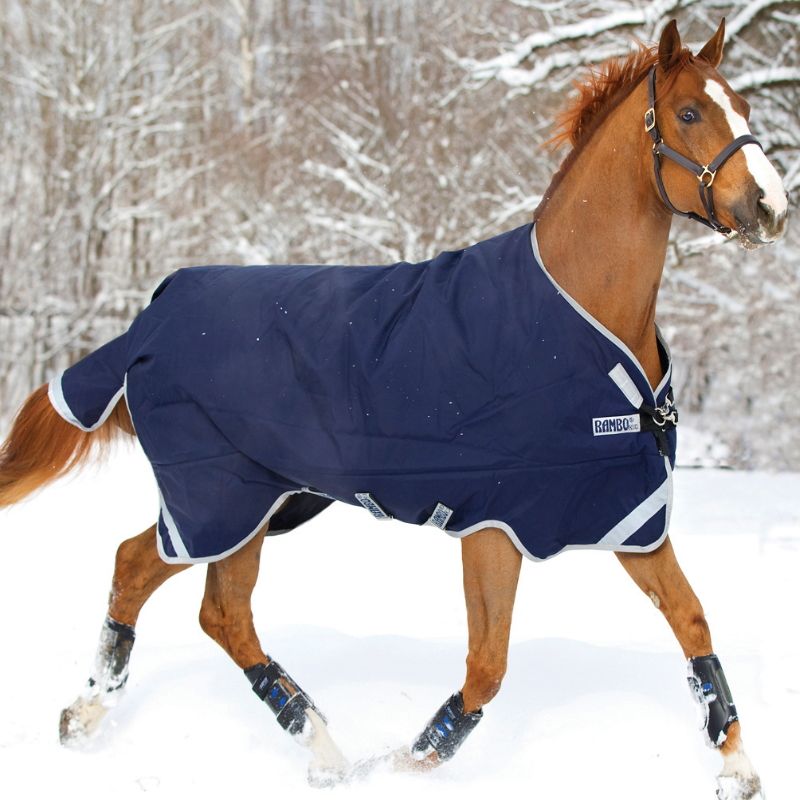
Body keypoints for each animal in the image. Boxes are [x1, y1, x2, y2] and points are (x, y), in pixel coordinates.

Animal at [0, 18, 788, 799]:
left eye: (745, 105)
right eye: (689, 113)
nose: (771, 207)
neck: (581, 316)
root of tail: (150, 320)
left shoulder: (627, 514)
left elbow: (692, 621)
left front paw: (737, 765)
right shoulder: (494, 524)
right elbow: (487, 666)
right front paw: (407, 766)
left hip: (257, 504)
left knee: (162, 578)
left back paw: (105, 717)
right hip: (222, 498)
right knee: (204, 600)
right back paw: (316, 744)